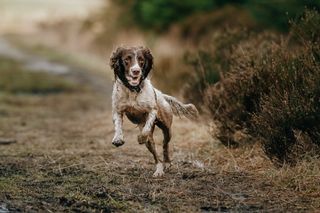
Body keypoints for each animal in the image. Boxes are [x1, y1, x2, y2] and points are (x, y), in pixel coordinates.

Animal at [111, 46, 199, 176]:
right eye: (127, 59)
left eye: (141, 60)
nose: (136, 71)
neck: (133, 90)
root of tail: (161, 94)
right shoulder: (118, 110)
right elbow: (118, 126)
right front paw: (118, 139)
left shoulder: (152, 111)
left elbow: (145, 130)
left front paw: (141, 138)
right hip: (151, 143)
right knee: (155, 154)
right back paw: (159, 169)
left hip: (167, 129)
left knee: (164, 145)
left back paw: (166, 163)